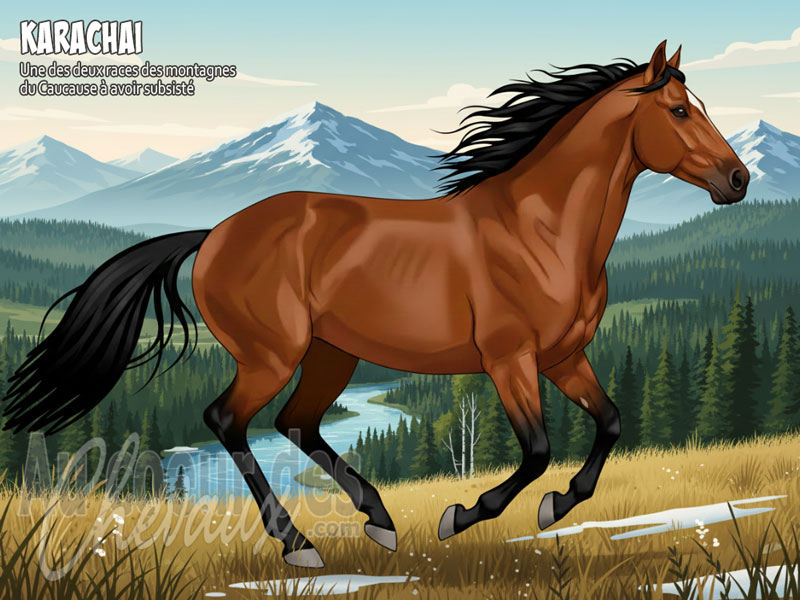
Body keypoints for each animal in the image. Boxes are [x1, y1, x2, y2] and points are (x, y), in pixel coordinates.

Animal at [2, 41, 749, 568]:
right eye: (680, 111)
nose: (738, 180)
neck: (540, 228)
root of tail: (213, 234)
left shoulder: (565, 357)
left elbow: (612, 423)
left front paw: (554, 507)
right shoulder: (509, 359)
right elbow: (537, 449)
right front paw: (464, 515)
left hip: (332, 354)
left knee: (297, 422)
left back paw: (379, 520)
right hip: (273, 354)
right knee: (229, 419)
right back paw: (299, 542)